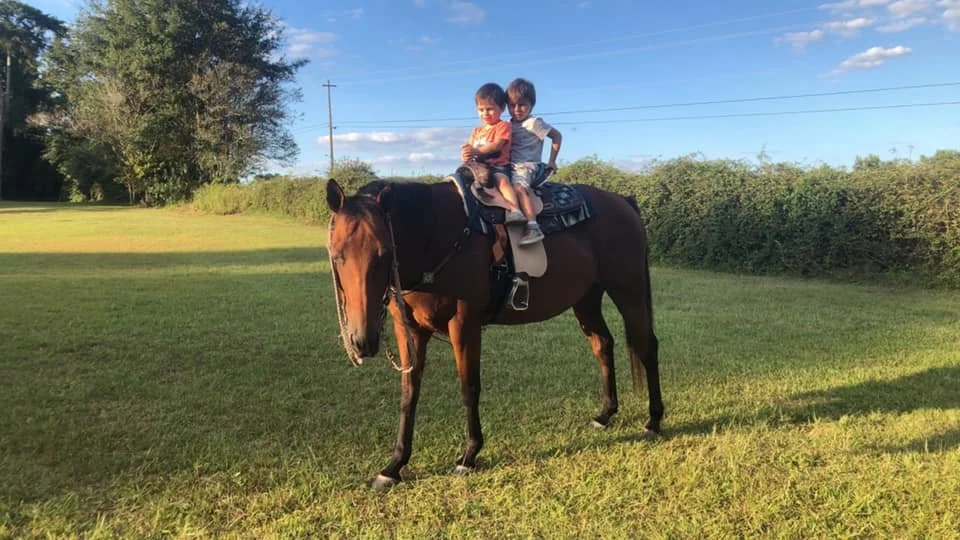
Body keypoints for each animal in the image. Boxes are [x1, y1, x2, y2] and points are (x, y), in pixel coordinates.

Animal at [325, 177, 663, 489]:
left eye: (384, 253)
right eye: (337, 255)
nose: (362, 340)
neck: (436, 238)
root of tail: (623, 202)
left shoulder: (464, 325)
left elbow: (468, 387)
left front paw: (468, 455)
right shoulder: (410, 331)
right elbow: (409, 394)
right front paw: (394, 466)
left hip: (629, 291)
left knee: (647, 346)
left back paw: (654, 419)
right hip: (587, 299)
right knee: (603, 344)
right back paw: (605, 414)